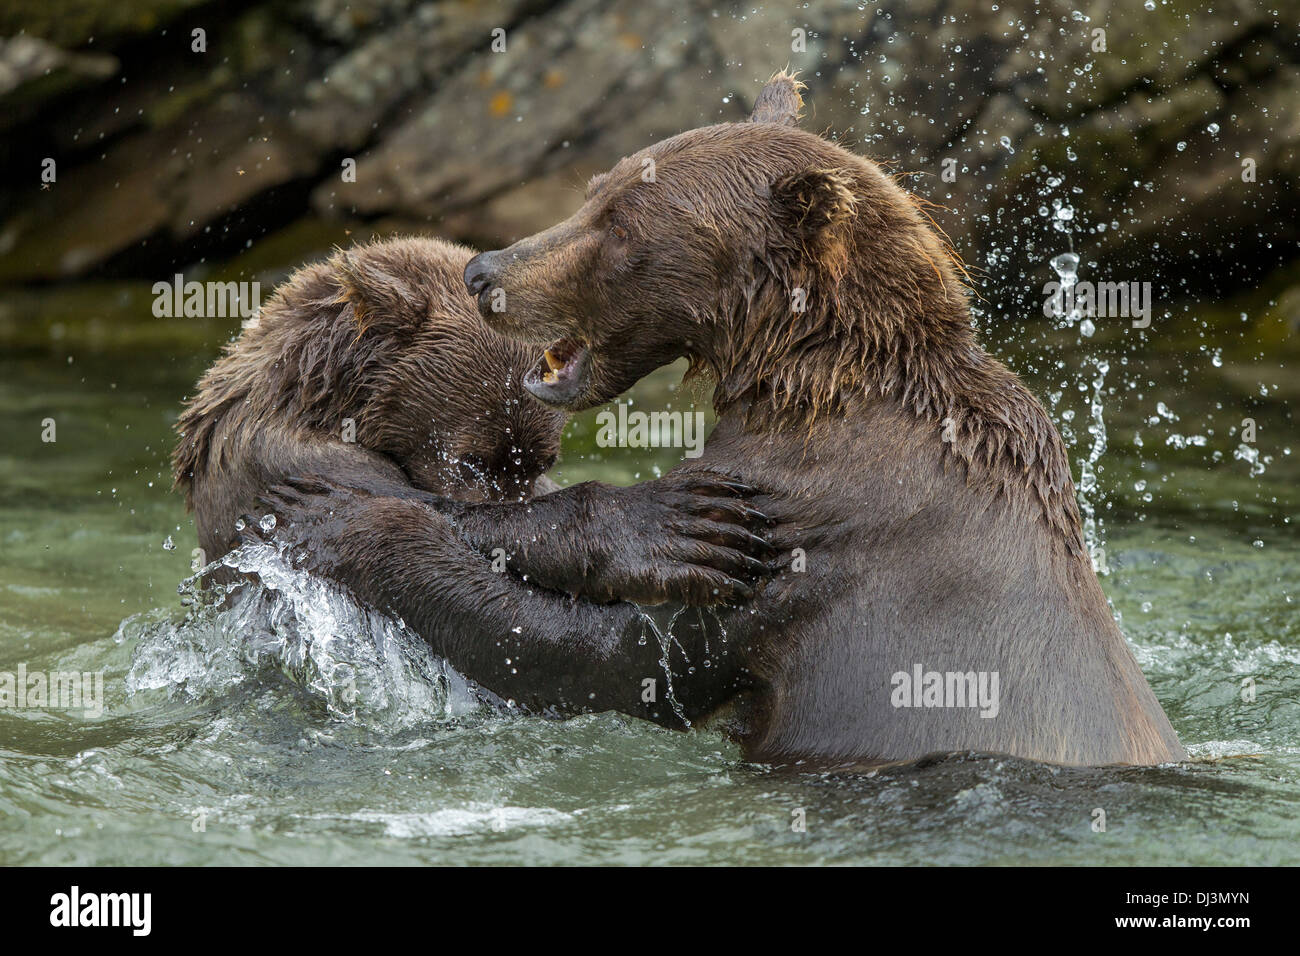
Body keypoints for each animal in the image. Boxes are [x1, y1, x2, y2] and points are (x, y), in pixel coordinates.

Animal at [261, 76, 1185, 769]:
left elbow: (604, 656)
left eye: (622, 226)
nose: (486, 271)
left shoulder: (806, 528)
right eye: (595, 189)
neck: (813, 383)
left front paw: (345, 521)